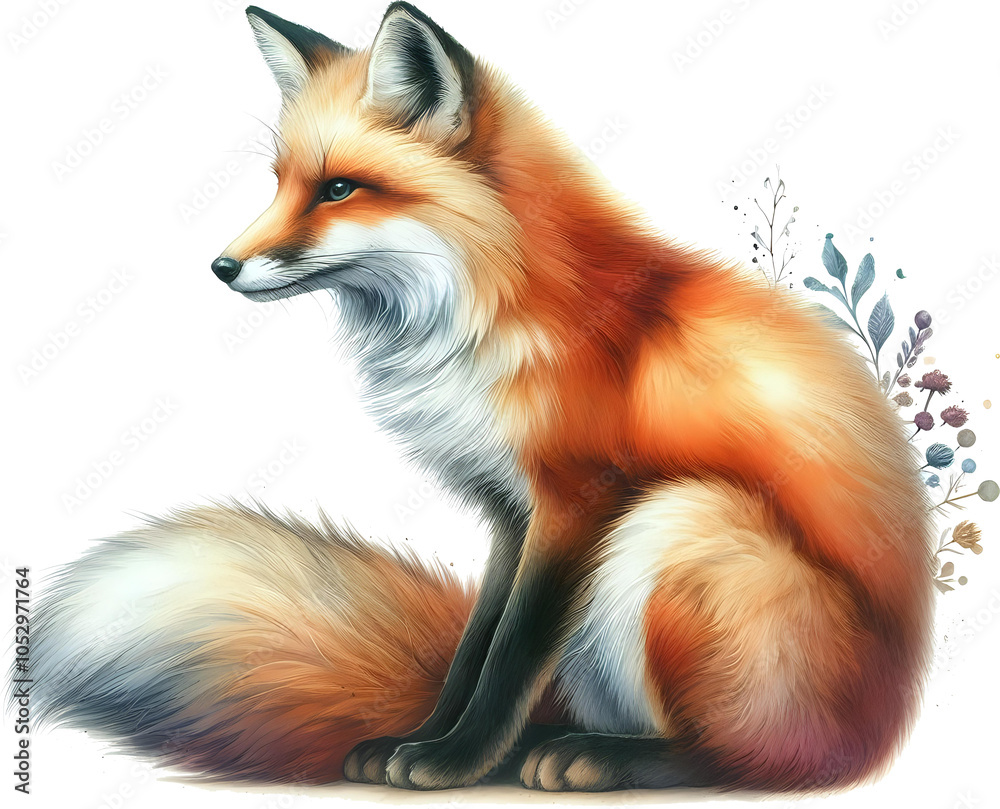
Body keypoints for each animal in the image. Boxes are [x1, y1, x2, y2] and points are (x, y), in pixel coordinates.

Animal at [20, 2, 936, 794]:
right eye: (280, 182)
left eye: (339, 189)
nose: (221, 267)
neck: (487, 311)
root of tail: (889, 724)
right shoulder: (508, 509)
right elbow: (474, 651)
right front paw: (425, 740)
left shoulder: (576, 497)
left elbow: (513, 649)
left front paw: (453, 760)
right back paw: (548, 740)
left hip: (678, 518)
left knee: (758, 760)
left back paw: (609, 756)